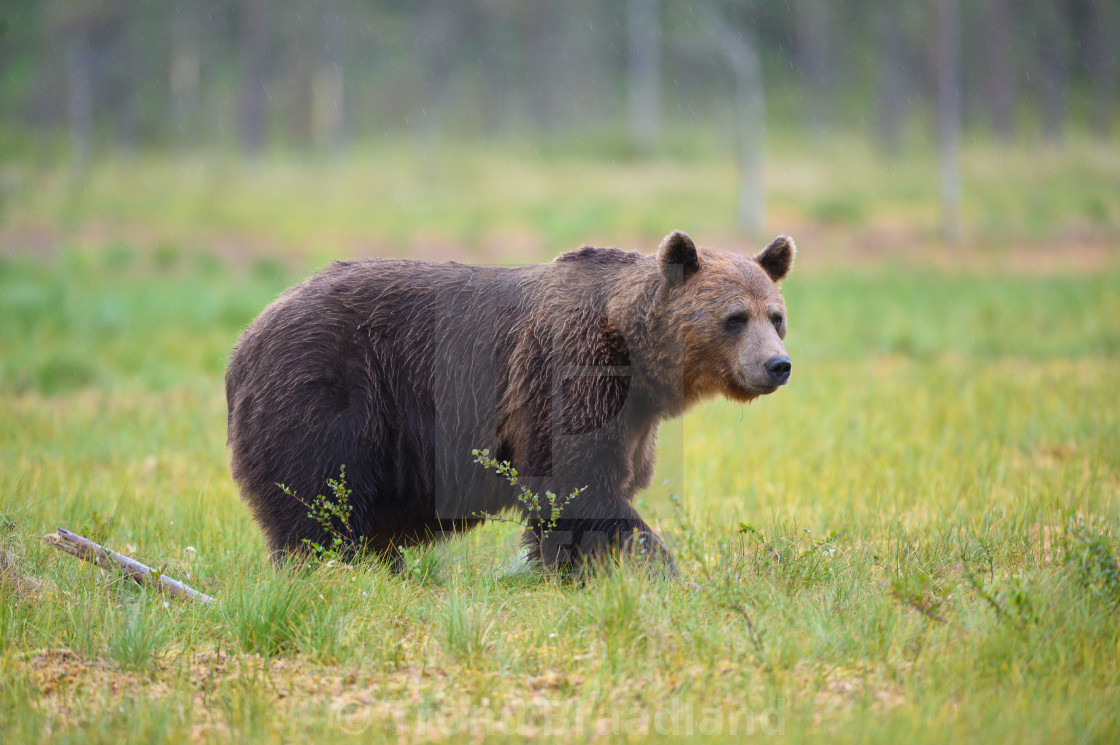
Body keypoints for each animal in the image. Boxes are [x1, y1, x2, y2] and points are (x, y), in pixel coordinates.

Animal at [222, 233, 792, 569]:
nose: (777, 365)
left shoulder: (632, 418)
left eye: (776, 315)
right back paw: (334, 564)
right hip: (330, 386)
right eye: (735, 318)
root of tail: (246, 336)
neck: (637, 357)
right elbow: (575, 484)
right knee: (320, 495)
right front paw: (657, 571)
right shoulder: (568, 368)